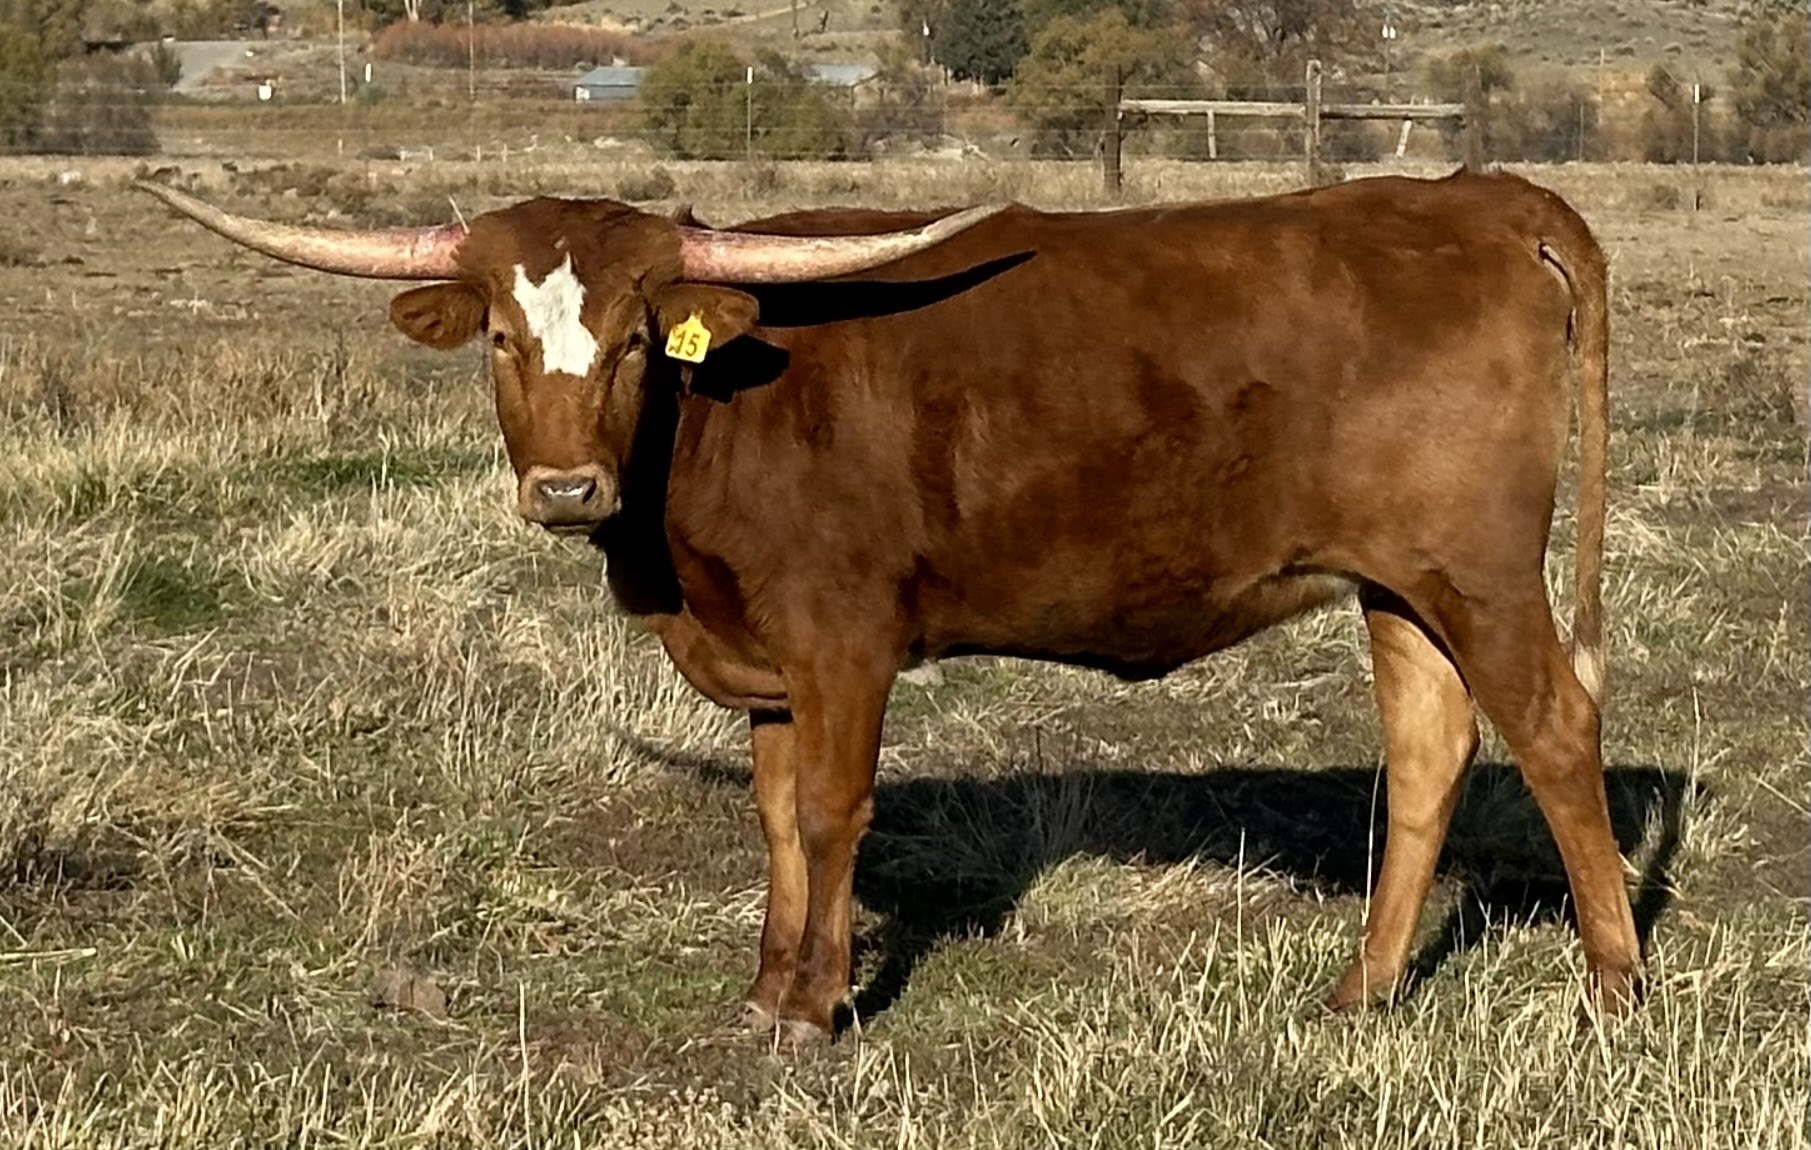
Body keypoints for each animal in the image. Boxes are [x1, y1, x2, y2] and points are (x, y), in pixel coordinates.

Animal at [137, 169, 1641, 1042]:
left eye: (634, 338)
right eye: (503, 338)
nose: (565, 488)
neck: (719, 420)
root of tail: (1480, 193)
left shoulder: (843, 644)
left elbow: (828, 812)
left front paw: (813, 1008)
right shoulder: (761, 662)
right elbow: (770, 821)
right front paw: (760, 990)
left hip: (1481, 573)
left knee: (1556, 733)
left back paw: (1612, 987)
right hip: (1399, 584)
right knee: (1429, 751)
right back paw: (1361, 991)